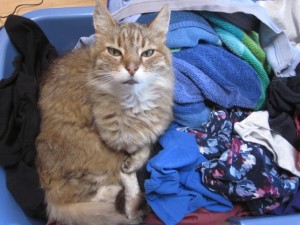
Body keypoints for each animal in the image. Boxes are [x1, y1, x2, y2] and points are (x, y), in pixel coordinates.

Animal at [35, 0, 173, 225]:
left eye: (147, 53)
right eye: (114, 52)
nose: (132, 68)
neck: (134, 103)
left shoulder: (151, 132)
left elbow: (145, 147)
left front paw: (133, 162)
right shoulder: (114, 143)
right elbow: (129, 169)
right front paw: (130, 172)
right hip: (93, 157)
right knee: (89, 195)